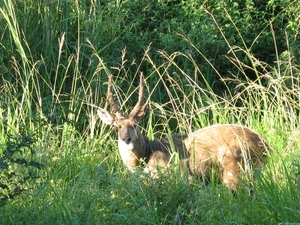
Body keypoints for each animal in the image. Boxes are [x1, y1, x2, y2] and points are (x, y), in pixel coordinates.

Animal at [97, 74, 270, 192]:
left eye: (134, 125)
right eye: (117, 126)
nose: (127, 139)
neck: (146, 156)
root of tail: (267, 147)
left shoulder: (178, 174)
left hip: (233, 163)